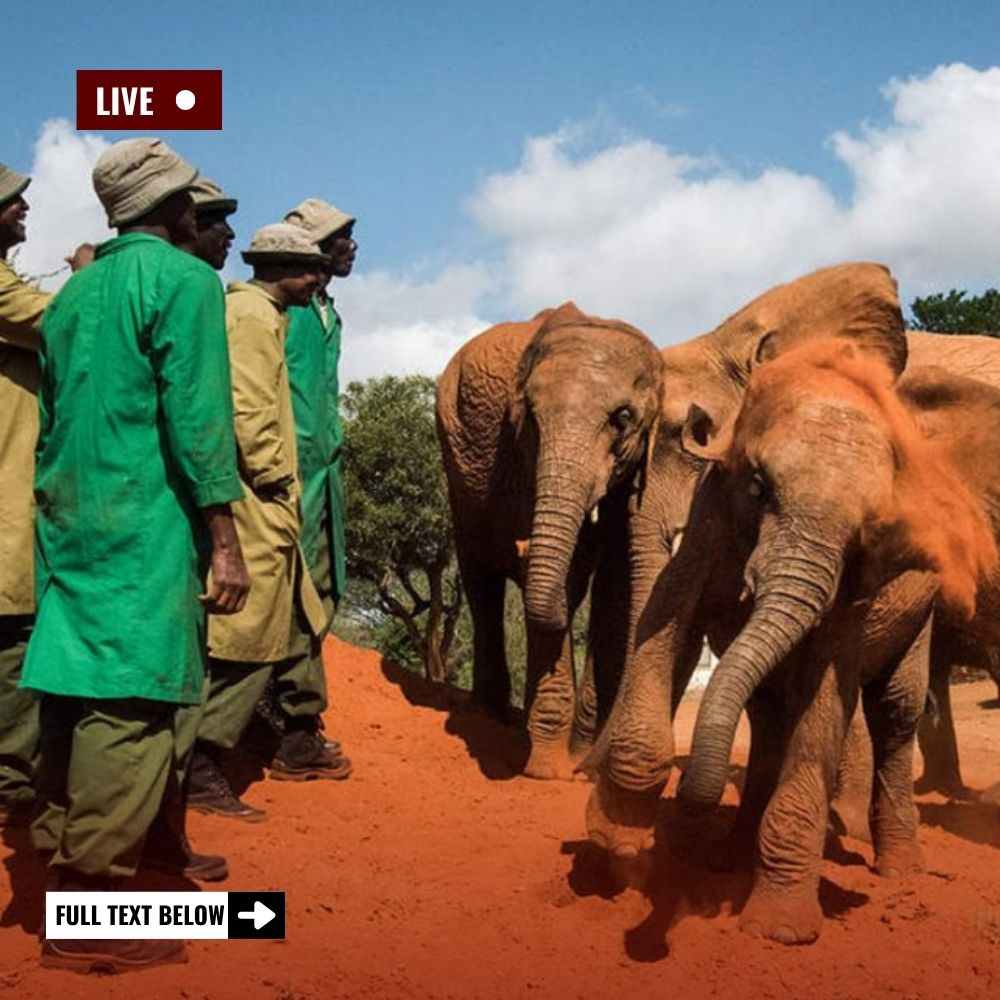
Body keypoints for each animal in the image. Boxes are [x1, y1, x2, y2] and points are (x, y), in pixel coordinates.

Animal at [436, 300, 664, 776]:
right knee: (480, 582)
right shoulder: (522, 456)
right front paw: (548, 772)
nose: (520, 548)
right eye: (531, 418)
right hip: (454, 456)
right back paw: (491, 715)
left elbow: (611, 583)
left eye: (622, 419)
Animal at [672, 340, 1000, 940]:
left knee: (895, 709)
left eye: (873, 527)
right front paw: (729, 869)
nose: (689, 798)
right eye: (757, 488)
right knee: (771, 717)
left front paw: (777, 930)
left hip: (921, 611)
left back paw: (898, 868)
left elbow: (822, 697)